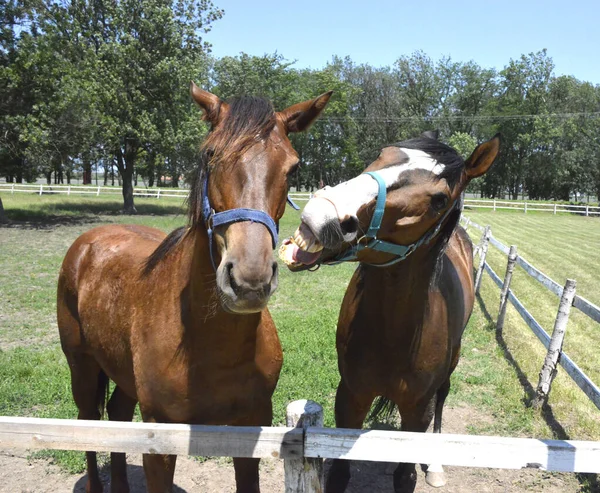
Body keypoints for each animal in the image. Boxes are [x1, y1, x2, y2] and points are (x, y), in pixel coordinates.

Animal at [56, 84, 332, 492]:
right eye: (210, 154)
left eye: (293, 167)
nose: (249, 279)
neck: (210, 343)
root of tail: (88, 240)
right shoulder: (160, 441)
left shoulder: (251, 426)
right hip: (82, 367)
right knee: (88, 424)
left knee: (117, 416)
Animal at [284, 132, 500, 492]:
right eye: (382, 154)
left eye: (439, 200)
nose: (322, 213)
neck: (392, 335)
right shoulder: (351, 397)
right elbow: (339, 474)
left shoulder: (417, 411)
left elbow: (405, 475)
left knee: (443, 399)